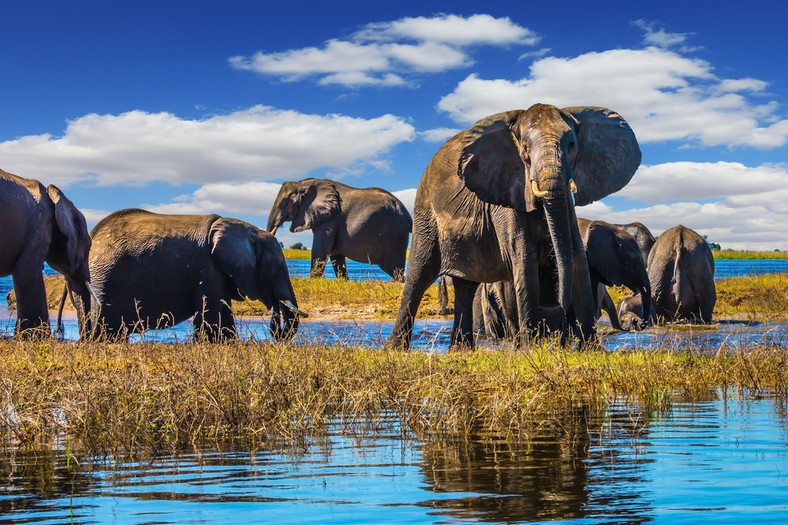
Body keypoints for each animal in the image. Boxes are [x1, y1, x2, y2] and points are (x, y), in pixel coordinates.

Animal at [75, 211, 304, 342]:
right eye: (278, 268)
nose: (278, 329)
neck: (250, 231)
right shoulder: (208, 268)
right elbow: (209, 321)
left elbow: (224, 320)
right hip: (103, 279)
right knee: (103, 330)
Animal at [266, 178, 412, 280]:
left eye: (285, 203)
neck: (303, 184)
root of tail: (407, 214)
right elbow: (335, 255)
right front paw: (344, 281)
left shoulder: (330, 220)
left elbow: (321, 249)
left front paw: (312, 280)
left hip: (394, 234)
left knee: (393, 269)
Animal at [386, 103, 640, 350]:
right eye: (525, 150)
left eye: (571, 144)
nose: (561, 302)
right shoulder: (505, 190)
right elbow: (523, 255)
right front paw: (529, 350)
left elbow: (577, 257)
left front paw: (591, 350)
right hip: (425, 212)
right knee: (419, 276)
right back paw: (395, 348)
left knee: (466, 286)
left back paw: (461, 350)